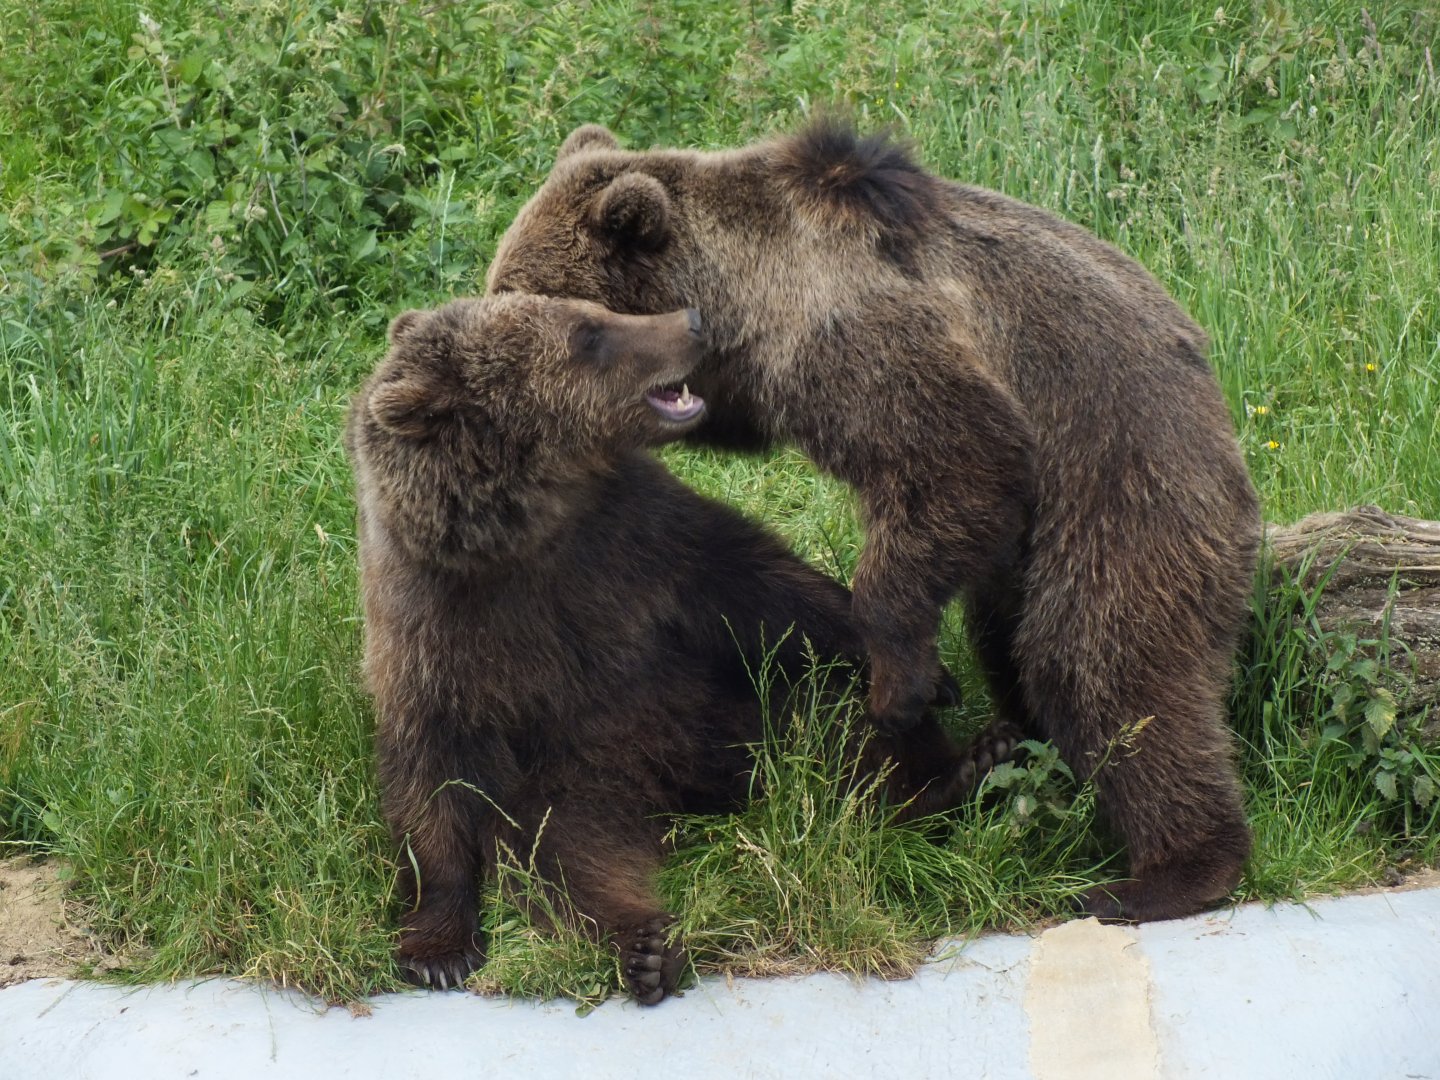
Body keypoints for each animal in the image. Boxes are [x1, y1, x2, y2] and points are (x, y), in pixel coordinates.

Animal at [345, 292, 1019, 1003]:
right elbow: (429, 778)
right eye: (588, 335)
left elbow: (762, 583)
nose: (691, 321)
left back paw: (958, 774)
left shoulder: (638, 535)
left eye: (589, 310)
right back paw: (645, 948)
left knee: (833, 717)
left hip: (741, 707)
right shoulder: (433, 633)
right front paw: (437, 948)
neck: (531, 532)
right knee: (568, 865)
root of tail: (680, 791)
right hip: (570, 783)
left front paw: (926, 674)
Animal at [482, 119, 1263, 925]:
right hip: (1040, 547)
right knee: (1009, 639)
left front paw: (900, 686)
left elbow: (958, 457)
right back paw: (1009, 748)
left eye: (537, 306)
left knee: (1101, 660)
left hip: (1123, 483)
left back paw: (1166, 871)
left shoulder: (854, 334)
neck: (742, 294)